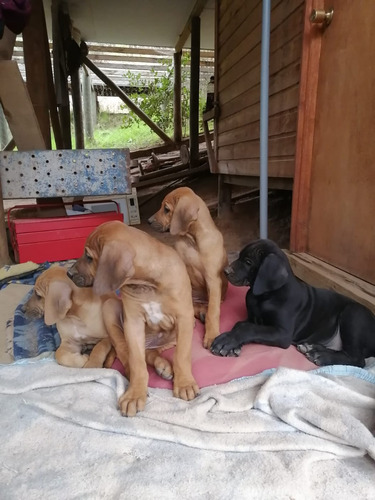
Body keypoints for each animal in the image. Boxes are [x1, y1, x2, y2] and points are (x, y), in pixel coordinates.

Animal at [67, 223, 200, 418]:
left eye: (89, 257)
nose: (68, 273)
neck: (146, 284)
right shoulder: (133, 321)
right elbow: (137, 362)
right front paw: (135, 393)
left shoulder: (184, 316)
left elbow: (182, 355)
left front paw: (184, 383)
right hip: (109, 308)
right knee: (127, 352)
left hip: (177, 332)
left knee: (151, 352)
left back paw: (164, 366)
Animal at [148, 187, 228, 348]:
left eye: (166, 209)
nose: (148, 221)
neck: (193, 241)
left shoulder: (213, 280)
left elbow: (213, 311)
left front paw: (211, 335)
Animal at [212, 238, 375, 368]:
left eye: (248, 262)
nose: (225, 271)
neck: (266, 296)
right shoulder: (253, 318)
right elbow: (241, 324)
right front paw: (233, 345)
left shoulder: (282, 333)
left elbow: (249, 329)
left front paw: (228, 341)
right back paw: (311, 347)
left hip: (353, 314)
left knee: (358, 359)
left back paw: (321, 356)